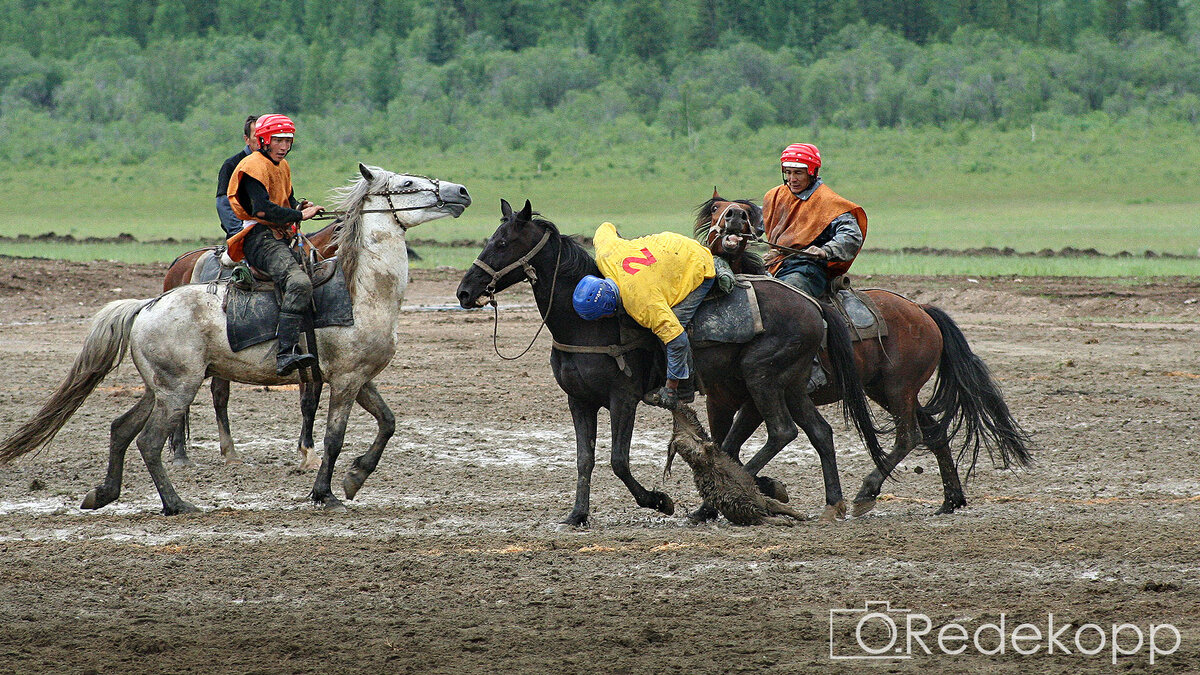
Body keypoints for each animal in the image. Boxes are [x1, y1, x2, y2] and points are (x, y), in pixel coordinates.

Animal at [0, 165, 468, 511]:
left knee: (121, 429)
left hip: (159, 389)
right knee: (150, 442)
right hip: (178, 390)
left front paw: (355, 477)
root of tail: (147, 306)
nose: (461, 191)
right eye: (406, 184)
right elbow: (334, 439)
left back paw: (104, 494)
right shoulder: (347, 381)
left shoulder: (360, 379)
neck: (362, 290)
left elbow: (388, 422)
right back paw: (176, 504)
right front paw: (325, 494)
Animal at [696, 192, 1032, 516]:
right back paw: (950, 499)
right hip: (884, 390)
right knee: (934, 431)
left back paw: (866, 492)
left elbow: (732, 445)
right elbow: (726, 445)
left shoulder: (756, 396)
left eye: (746, 213)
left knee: (909, 436)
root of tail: (922, 310)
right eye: (715, 208)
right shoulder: (731, 397)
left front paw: (745, 492)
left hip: (898, 389)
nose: (735, 217)